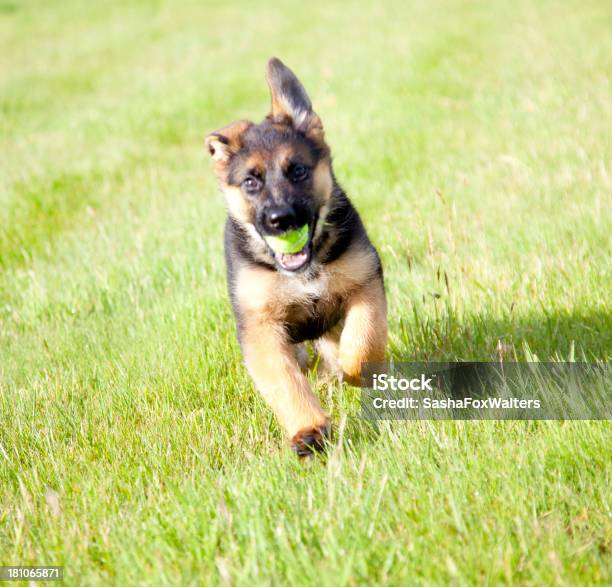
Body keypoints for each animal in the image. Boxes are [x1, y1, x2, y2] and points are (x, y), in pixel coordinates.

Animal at [206, 57, 388, 458]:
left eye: (299, 170)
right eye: (251, 182)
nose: (281, 219)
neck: (304, 272)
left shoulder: (365, 283)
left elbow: (361, 343)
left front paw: (358, 372)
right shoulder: (261, 327)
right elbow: (284, 382)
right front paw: (308, 429)